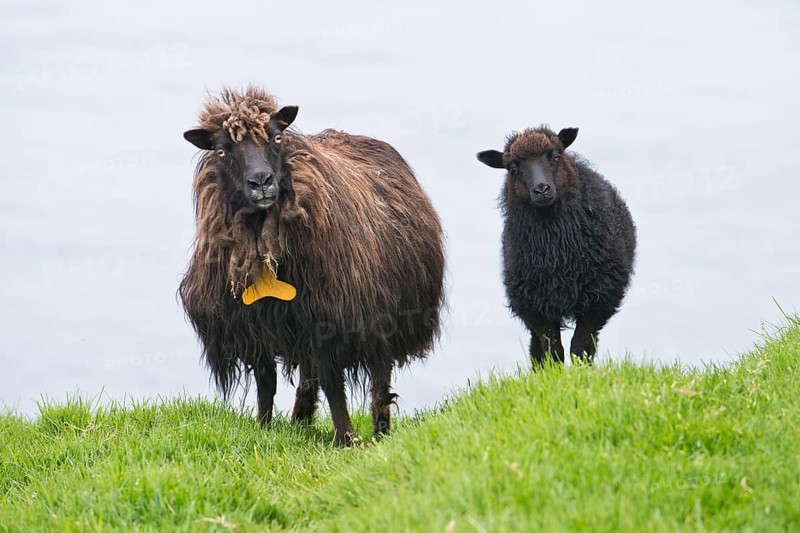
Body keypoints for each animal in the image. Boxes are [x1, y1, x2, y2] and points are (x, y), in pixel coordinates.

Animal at [179, 86, 445, 445]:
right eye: (222, 150)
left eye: (277, 137)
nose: (262, 182)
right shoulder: (255, 326)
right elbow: (266, 384)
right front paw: (264, 429)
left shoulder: (332, 321)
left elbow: (334, 386)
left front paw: (346, 439)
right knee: (309, 375)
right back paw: (300, 420)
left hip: (384, 314)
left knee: (380, 377)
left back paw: (380, 430)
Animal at [477, 126, 636, 366]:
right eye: (513, 167)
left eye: (555, 156)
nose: (541, 189)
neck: (557, 251)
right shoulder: (536, 306)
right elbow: (553, 350)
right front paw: (555, 372)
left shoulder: (598, 299)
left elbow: (580, 347)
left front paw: (581, 371)